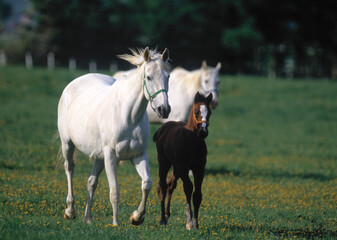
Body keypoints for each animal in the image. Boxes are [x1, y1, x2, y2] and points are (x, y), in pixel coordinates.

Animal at [57, 47, 171, 226]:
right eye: (148, 77)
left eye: (168, 76)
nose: (164, 109)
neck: (128, 116)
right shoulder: (111, 157)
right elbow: (114, 192)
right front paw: (116, 223)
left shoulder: (139, 155)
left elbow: (147, 184)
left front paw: (137, 217)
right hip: (67, 144)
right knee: (69, 168)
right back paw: (70, 211)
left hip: (98, 156)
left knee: (91, 182)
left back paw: (87, 218)